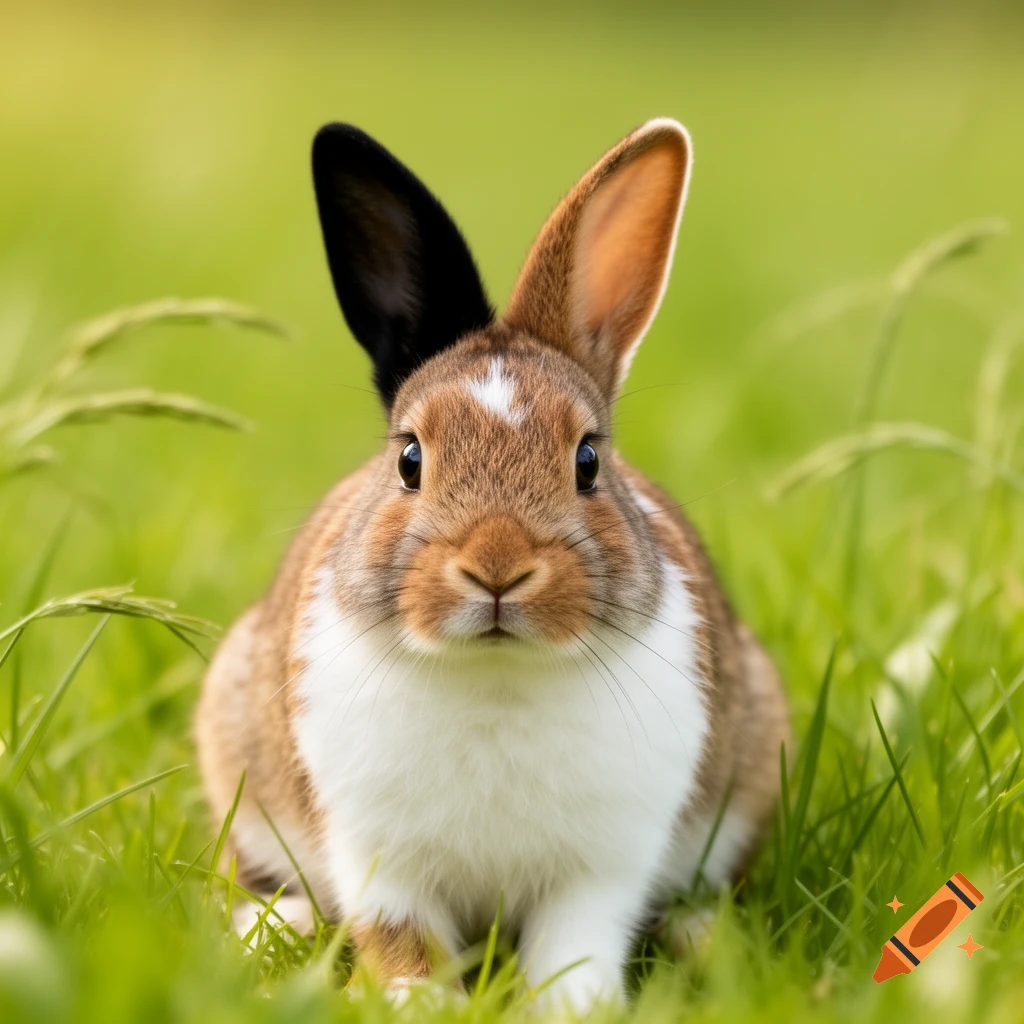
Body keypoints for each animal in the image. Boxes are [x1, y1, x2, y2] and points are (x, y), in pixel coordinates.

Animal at [195, 117, 789, 1011]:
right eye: (410, 459)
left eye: (587, 461)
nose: (498, 567)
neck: (497, 673)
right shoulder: (382, 862)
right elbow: (400, 941)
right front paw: (419, 1007)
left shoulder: (599, 873)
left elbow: (575, 950)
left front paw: (574, 1011)